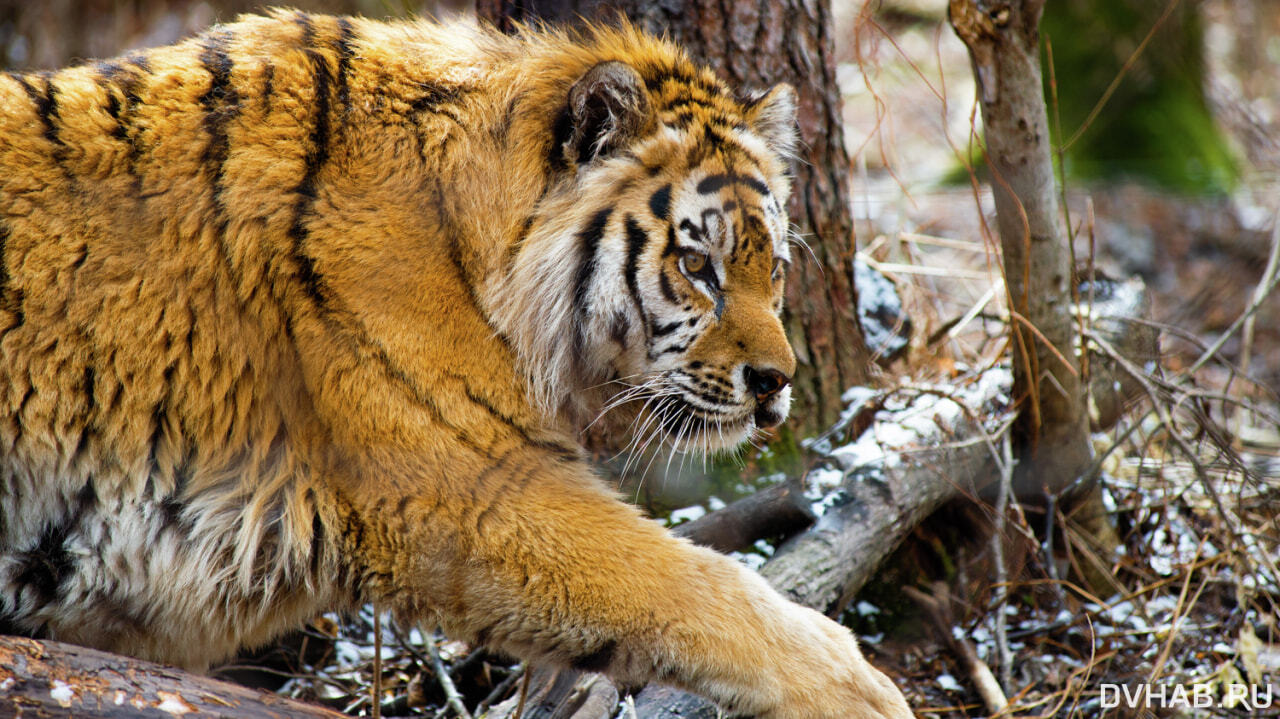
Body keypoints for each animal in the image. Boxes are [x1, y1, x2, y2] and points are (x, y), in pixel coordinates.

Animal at [0, 11, 916, 716]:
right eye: (699, 266)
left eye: (776, 266)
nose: (777, 383)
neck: (474, 245)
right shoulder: (479, 490)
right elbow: (699, 586)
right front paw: (863, 691)